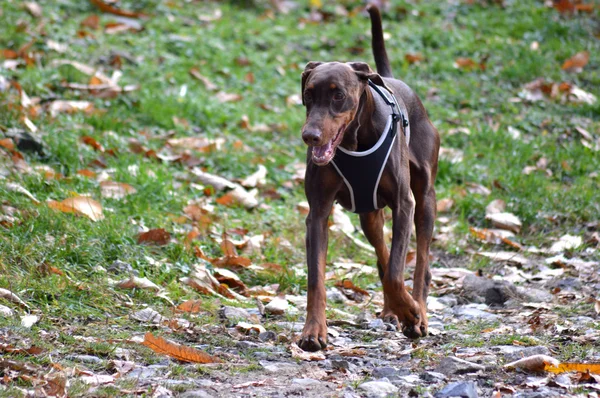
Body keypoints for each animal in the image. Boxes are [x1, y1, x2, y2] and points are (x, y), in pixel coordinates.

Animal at [298, 4, 440, 350]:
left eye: (338, 95)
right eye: (309, 94)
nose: (310, 136)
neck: (354, 141)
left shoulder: (404, 204)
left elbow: (396, 273)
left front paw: (411, 313)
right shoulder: (318, 213)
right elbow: (316, 277)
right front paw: (314, 330)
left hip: (425, 199)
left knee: (419, 265)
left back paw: (417, 311)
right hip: (369, 214)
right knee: (382, 254)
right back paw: (393, 311)